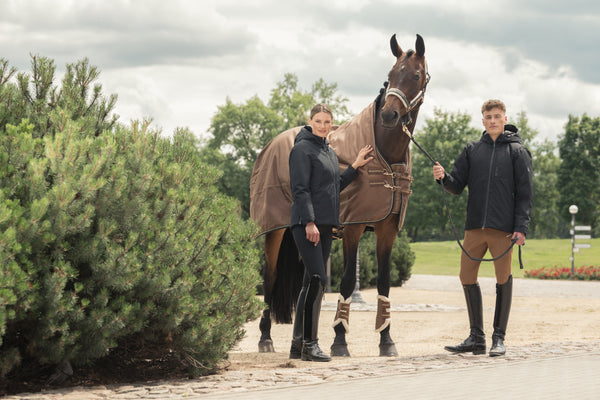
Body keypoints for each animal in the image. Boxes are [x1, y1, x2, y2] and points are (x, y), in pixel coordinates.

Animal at [250, 32, 432, 354]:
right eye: (390, 75)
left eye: (416, 75)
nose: (389, 115)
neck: (384, 154)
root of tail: (270, 145)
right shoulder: (353, 228)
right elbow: (347, 281)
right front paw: (339, 339)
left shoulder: (388, 229)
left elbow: (384, 282)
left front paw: (386, 340)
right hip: (275, 231)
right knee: (269, 279)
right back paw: (266, 338)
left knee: (306, 282)